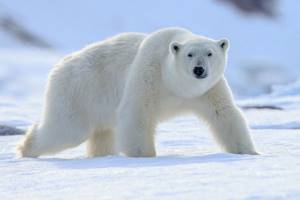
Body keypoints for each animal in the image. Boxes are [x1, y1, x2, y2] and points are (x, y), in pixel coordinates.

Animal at [18, 27, 258, 158]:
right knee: (66, 129)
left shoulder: (208, 89)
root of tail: (59, 65)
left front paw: (249, 152)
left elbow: (224, 114)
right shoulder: (149, 73)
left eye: (210, 53)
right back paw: (25, 148)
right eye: (190, 54)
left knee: (102, 133)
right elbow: (136, 114)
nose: (199, 70)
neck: (176, 85)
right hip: (78, 92)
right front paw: (145, 155)